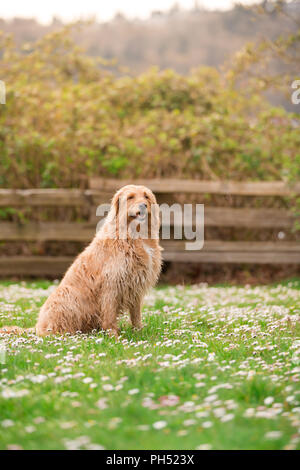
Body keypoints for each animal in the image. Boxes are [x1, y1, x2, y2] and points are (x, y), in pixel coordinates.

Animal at [0, 185, 162, 338]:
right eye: (130, 197)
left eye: (146, 196)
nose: (143, 205)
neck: (134, 235)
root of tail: (37, 327)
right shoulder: (112, 285)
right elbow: (109, 316)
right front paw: (114, 337)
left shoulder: (135, 286)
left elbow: (136, 315)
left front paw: (139, 333)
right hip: (67, 295)